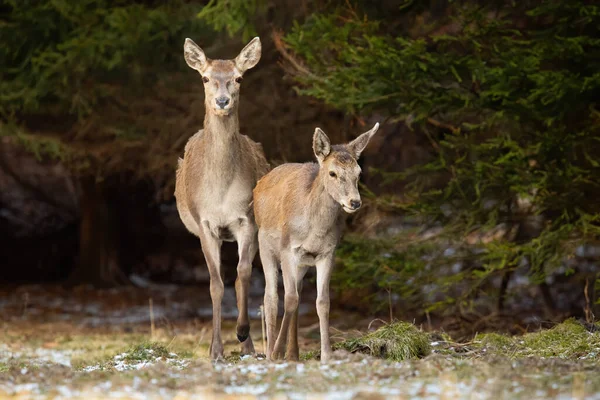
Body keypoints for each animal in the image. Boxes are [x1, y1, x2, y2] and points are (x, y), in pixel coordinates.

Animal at [173, 36, 268, 360]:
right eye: (205, 77)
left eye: (238, 78)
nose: (223, 101)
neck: (222, 191)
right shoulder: (204, 222)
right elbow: (215, 284)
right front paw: (215, 351)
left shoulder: (247, 220)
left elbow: (243, 276)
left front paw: (243, 334)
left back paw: (248, 343)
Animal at [253, 122, 380, 362]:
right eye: (332, 173)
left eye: (359, 173)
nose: (354, 202)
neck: (313, 230)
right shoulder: (288, 250)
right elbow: (289, 299)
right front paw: (276, 352)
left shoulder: (327, 253)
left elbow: (322, 302)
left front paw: (327, 354)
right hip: (264, 245)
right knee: (271, 297)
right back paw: (271, 352)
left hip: (302, 263)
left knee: (298, 294)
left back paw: (293, 354)